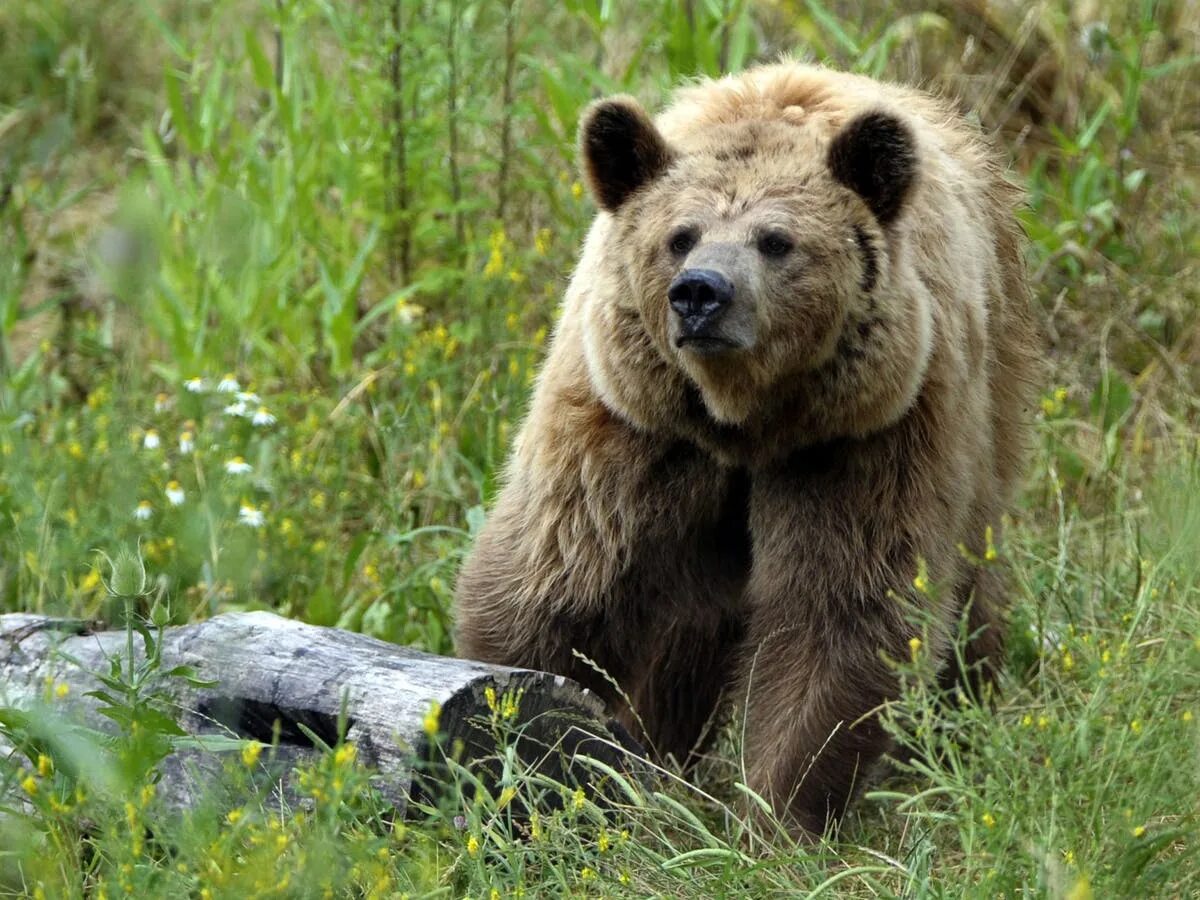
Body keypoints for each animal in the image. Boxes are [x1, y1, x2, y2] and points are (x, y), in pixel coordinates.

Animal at [453, 63, 1036, 840]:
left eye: (776, 240)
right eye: (680, 235)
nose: (701, 294)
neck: (744, 420)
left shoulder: (866, 436)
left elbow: (839, 614)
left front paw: (772, 819)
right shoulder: (630, 422)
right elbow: (555, 578)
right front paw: (513, 732)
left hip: (986, 409)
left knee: (971, 597)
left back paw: (952, 734)